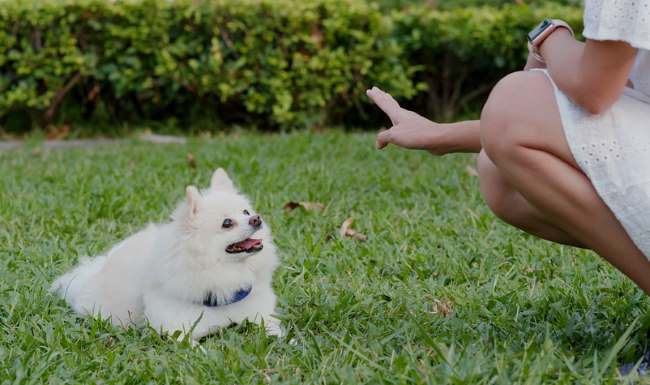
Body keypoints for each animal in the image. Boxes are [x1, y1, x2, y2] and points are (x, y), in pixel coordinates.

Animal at [51, 168, 280, 340]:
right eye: (227, 223)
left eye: (246, 212)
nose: (257, 219)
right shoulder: (175, 328)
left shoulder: (257, 311)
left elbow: (273, 327)